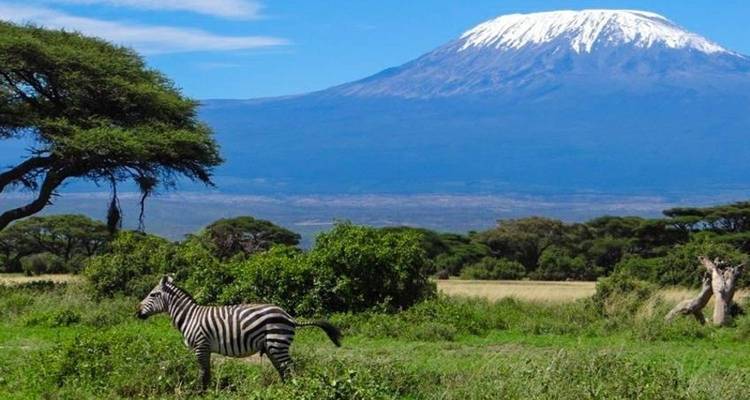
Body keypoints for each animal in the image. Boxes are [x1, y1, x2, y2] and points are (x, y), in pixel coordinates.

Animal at [136, 276, 341, 389]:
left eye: (153, 295)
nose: (137, 313)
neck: (189, 316)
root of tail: (289, 317)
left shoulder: (201, 346)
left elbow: (202, 372)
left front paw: (200, 392)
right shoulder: (205, 348)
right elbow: (207, 372)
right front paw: (207, 391)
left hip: (277, 342)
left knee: (290, 368)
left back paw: (292, 390)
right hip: (272, 346)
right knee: (283, 369)